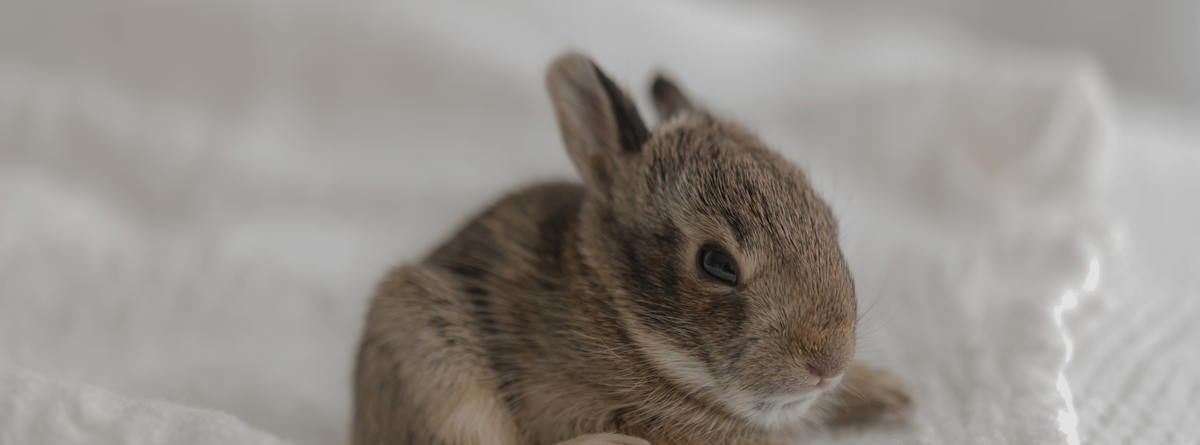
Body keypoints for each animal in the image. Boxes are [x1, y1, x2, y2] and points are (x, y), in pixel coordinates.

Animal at [352, 53, 913, 445]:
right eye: (717, 264)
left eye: (827, 220)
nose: (828, 366)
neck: (622, 319)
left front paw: (890, 395)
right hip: (422, 332)